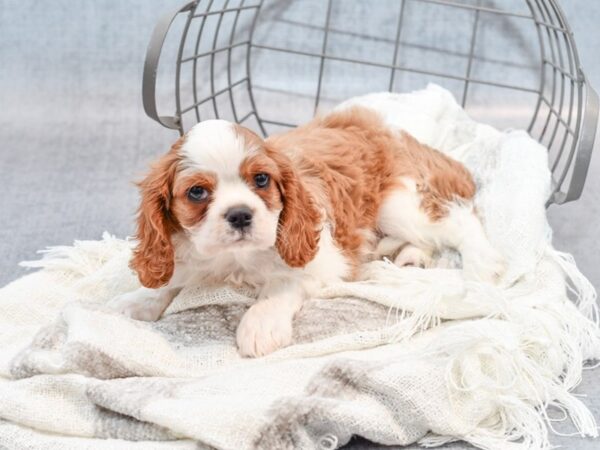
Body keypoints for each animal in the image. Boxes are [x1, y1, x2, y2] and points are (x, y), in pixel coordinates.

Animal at [110, 104, 504, 356]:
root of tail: (394, 131)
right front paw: (138, 300)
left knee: (458, 220)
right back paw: (409, 258)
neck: (235, 258)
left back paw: (483, 265)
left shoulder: (322, 260)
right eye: (196, 192)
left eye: (261, 179)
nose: (240, 215)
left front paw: (260, 323)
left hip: (398, 205)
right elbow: (171, 280)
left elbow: (283, 282)